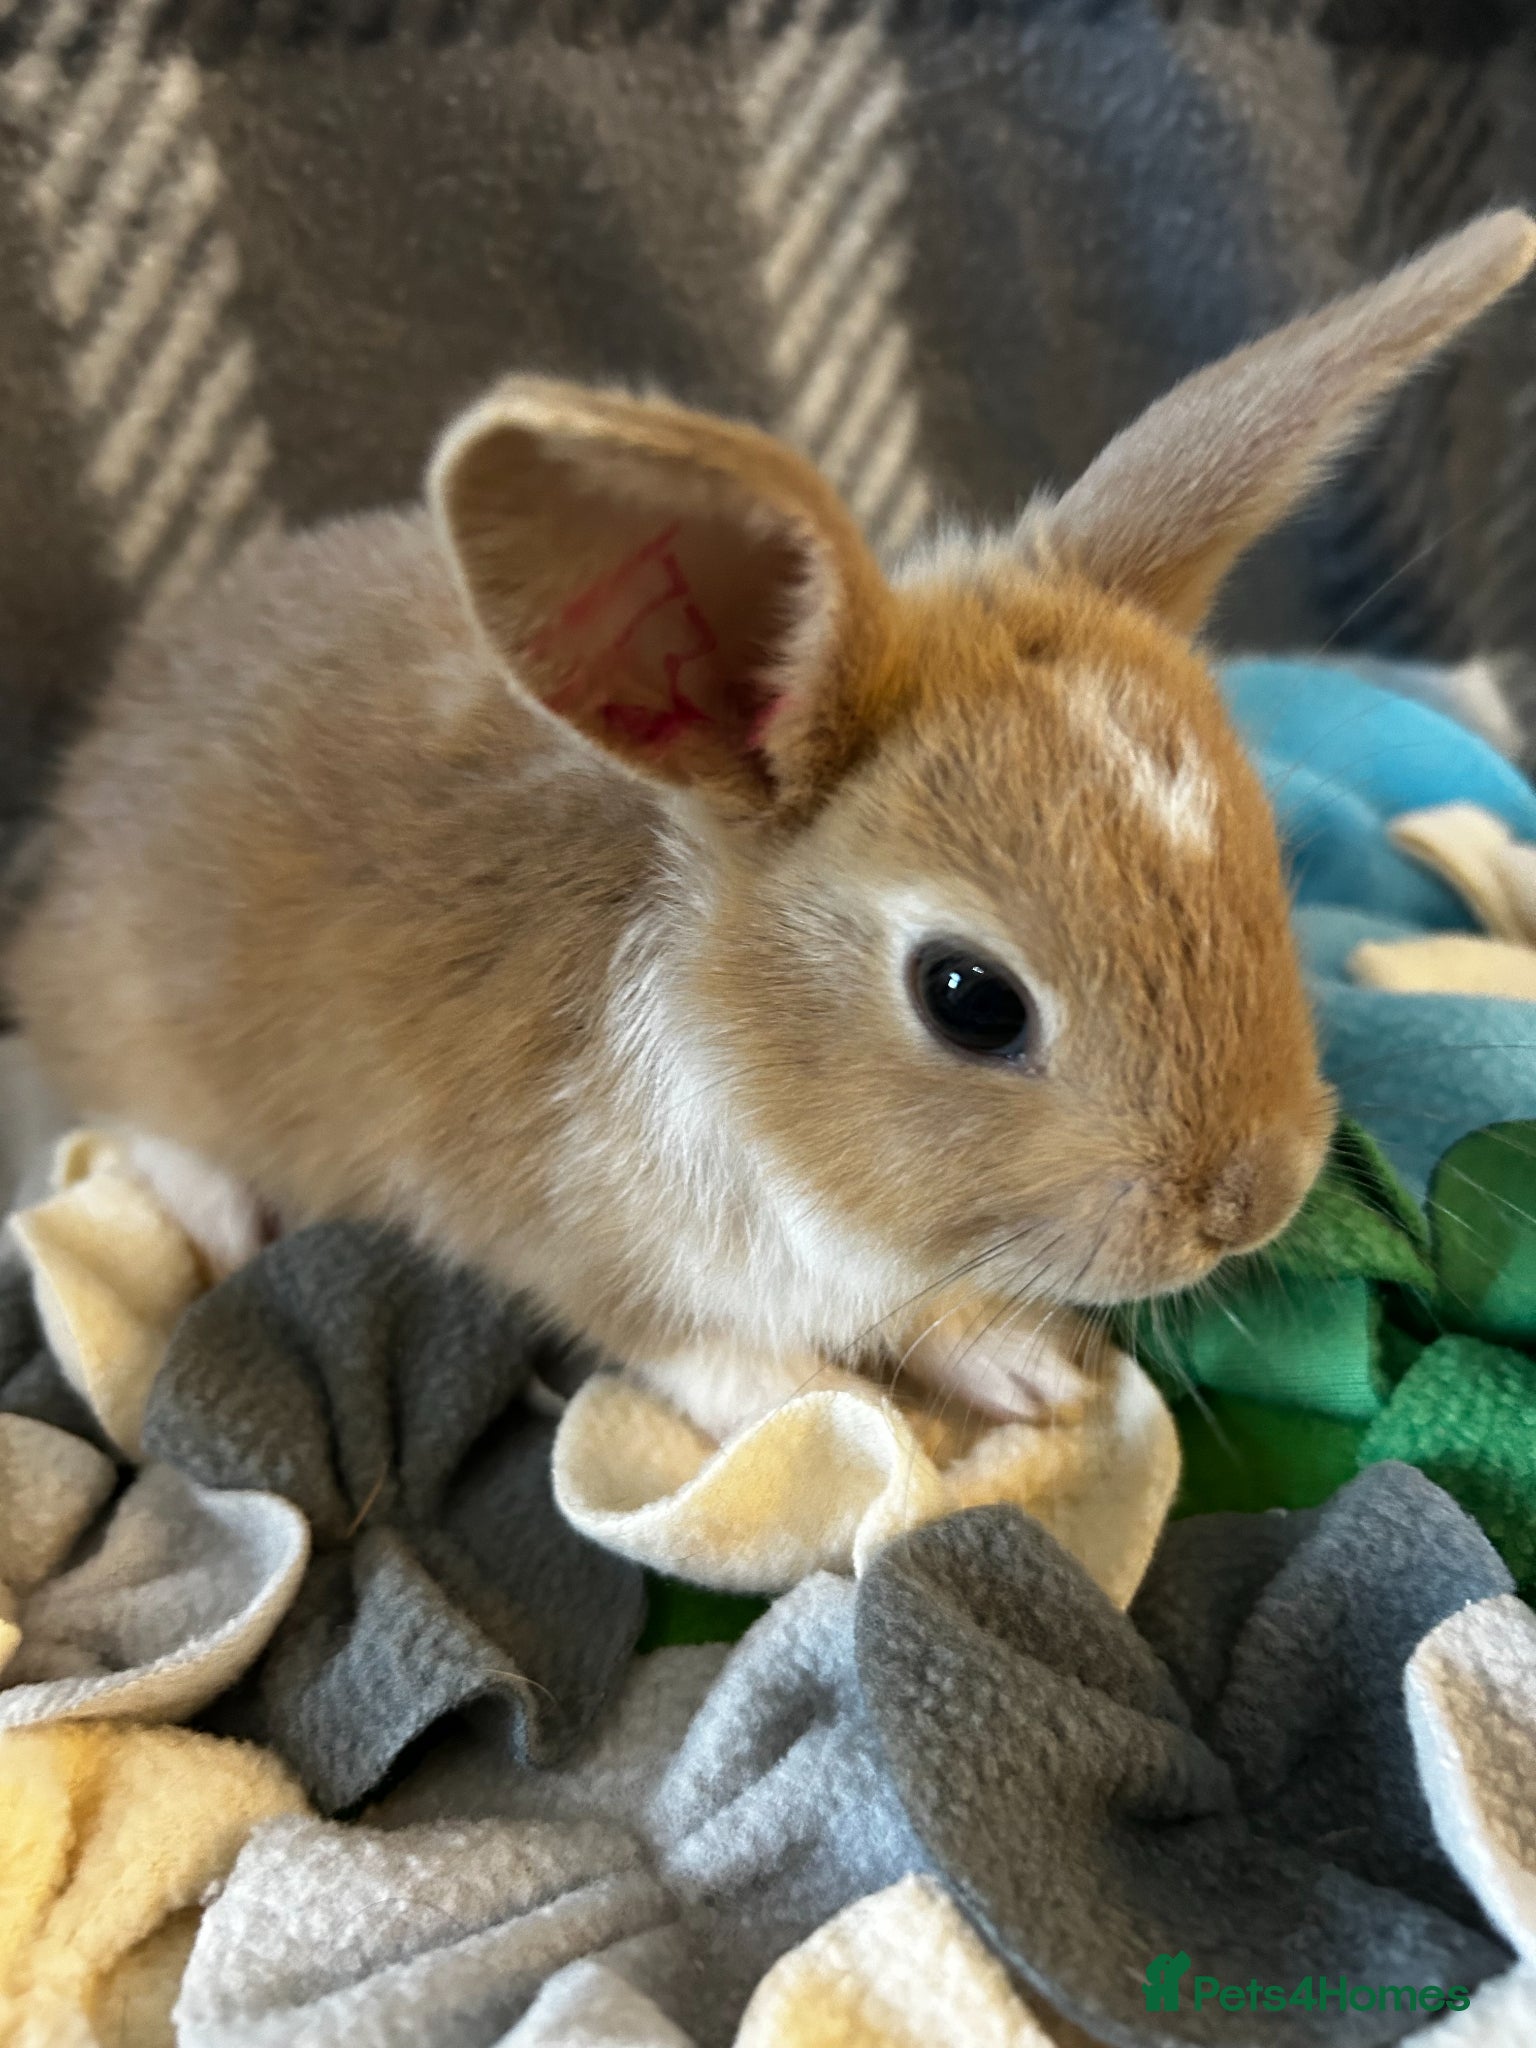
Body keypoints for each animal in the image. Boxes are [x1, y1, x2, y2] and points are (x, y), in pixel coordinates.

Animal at [8, 210, 1535, 1439]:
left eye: (1269, 865)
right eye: (970, 998)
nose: (1250, 1201)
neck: (754, 1064)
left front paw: (1029, 1369)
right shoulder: (583, 1238)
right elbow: (697, 1351)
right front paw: (843, 1413)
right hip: (132, 1015)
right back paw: (215, 1212)